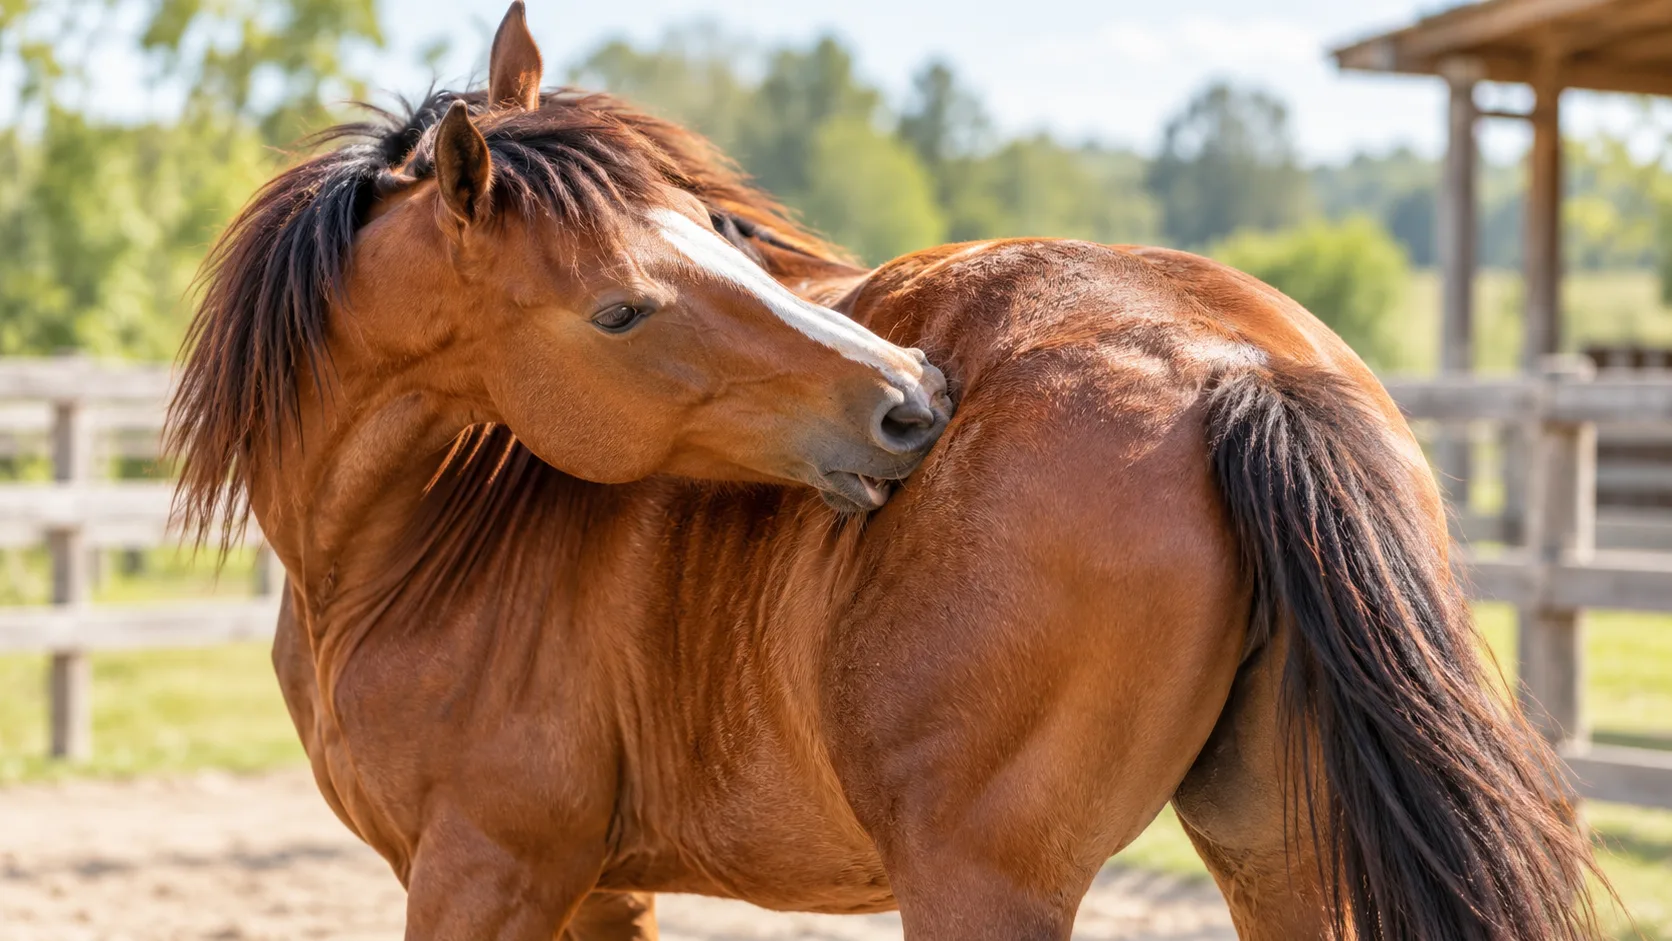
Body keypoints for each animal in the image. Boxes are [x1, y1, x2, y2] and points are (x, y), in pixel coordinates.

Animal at [165, 4, 1602, 938]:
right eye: (622, 308)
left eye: (723, 228)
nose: (910, 400)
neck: (402, 545)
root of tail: (1227, 362)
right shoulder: (599, 888)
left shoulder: (486, 871)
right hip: (1275, 849)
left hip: (982, 882)